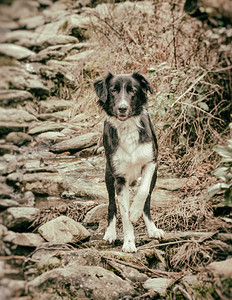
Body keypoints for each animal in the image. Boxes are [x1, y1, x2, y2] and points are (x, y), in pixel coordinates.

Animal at [93, 71, 164, 252]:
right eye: (113, 90)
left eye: (133, 90)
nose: (122, 108)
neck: (127, 127)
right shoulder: (119, 178)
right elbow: (124, 214)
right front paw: (129, 243)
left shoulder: (151, 162)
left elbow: (143, 192)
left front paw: (135, 212)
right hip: (108, 175)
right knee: (111, 205)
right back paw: (110, 233)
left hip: (155, 176)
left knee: (147, 201)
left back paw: (152, 228)